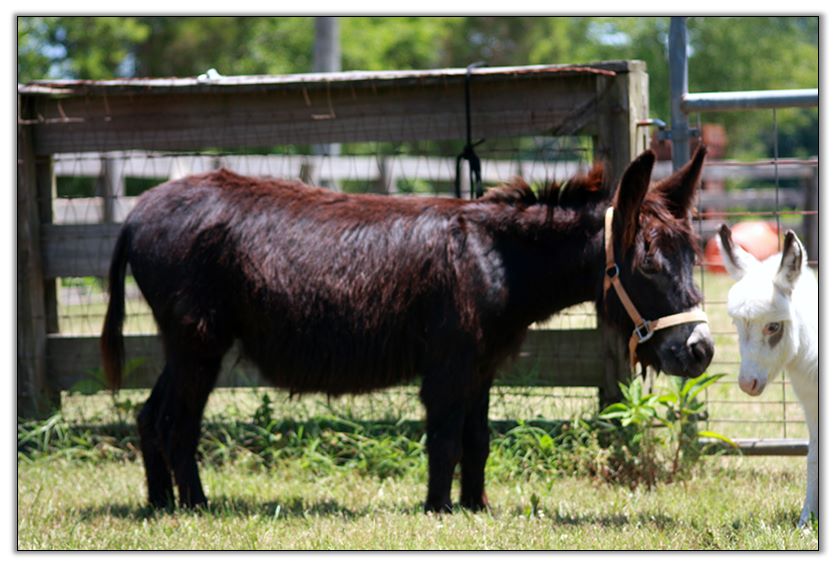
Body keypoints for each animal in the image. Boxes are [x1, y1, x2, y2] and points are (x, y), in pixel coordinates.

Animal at [101, 146, 714, 512]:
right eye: (649, 265)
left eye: (694, 258)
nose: (702, 351)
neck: (498, 259)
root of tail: (136, 212)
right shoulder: (448, 364)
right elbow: (443, 439)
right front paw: (438, 511)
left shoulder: (481, 366)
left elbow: (477, 440)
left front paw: (476, 509)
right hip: (198, 342)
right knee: (177, 423)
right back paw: (196, 507)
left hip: (186, 345)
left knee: (150, 415)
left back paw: (160, 505)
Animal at [718, 225, 818, 527]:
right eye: (736, 324)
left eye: (773, 327)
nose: (746, 384)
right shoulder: (810, 403)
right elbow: (814, 457)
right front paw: (806, 522)